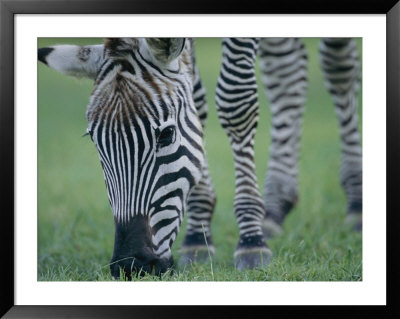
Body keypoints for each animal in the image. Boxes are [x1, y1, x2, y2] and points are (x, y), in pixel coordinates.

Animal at [38, 37, 362, 278]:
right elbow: (197, 102)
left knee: (338, 65)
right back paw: (276, 204)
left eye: (167, 135)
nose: (132, 265)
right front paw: (198, 235)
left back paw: (355, 201)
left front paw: (251, 241)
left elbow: (236, 100)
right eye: (94, 141)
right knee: (287, 70)